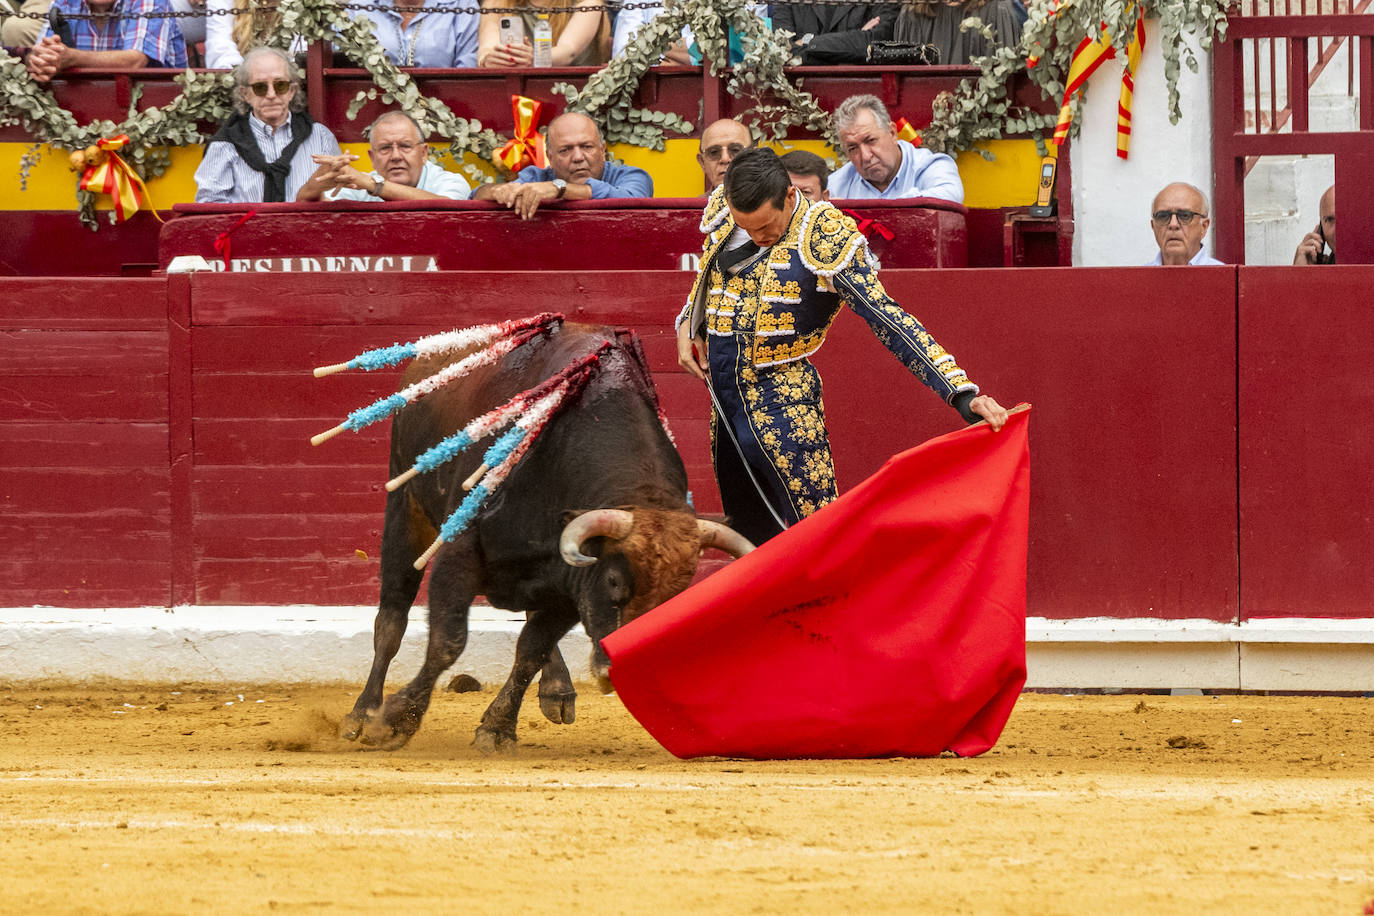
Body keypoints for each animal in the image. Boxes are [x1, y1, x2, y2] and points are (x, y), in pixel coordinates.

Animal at [340, 322, 752, 752]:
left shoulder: (568, 587)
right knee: (391, 620)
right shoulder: (461, 553)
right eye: (614, 581)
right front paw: (394, 720)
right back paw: (362, 714)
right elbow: (447, 642)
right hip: (406, 511)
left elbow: (530, 652)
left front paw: (497, 728)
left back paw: (557, 690)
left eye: (677, 596)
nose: (615, 672)